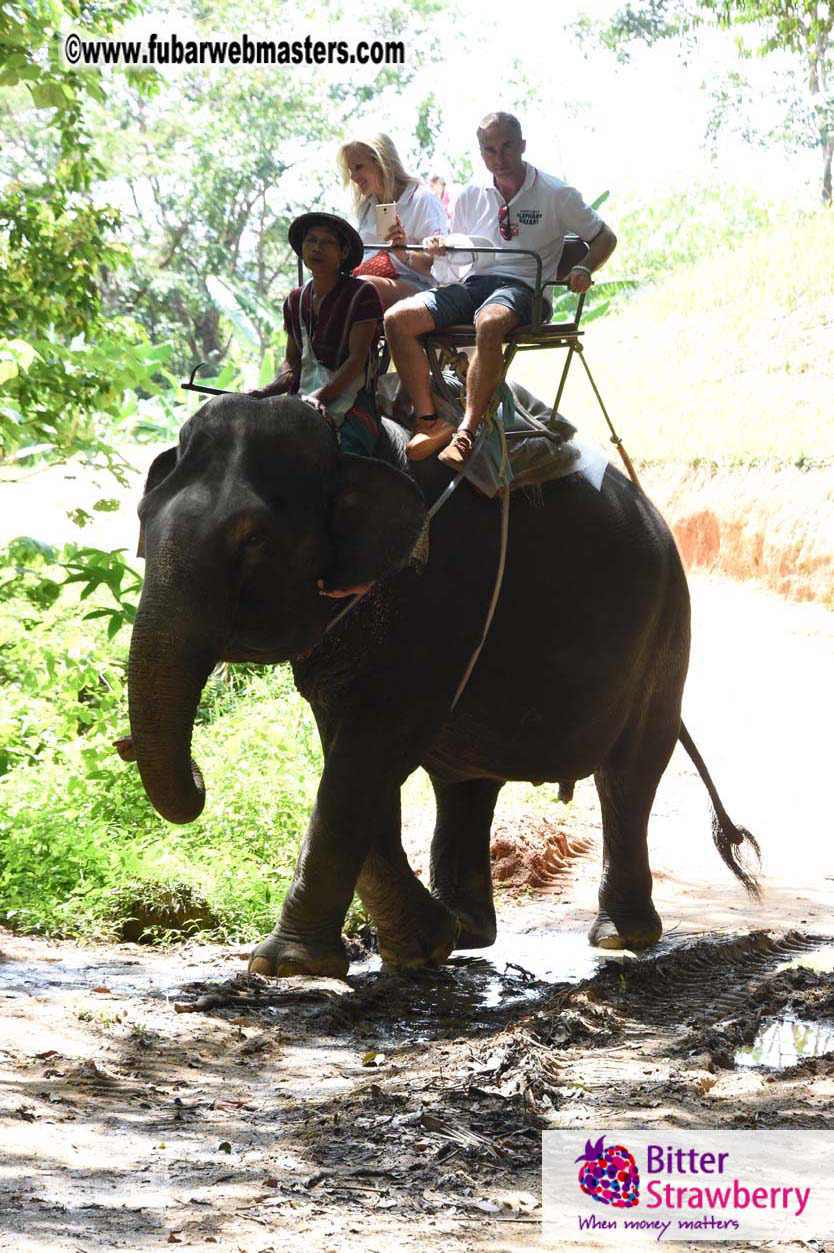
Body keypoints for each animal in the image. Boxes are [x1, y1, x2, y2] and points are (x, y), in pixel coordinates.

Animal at [127, 393, 759, 978]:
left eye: (255, 539)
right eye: (143, 520)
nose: (200, 775)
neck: (351, 443)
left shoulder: (441, 593)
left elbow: (373, 745)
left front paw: (287, 965)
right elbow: (349, 748)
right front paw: (420, 948)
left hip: (666, 628)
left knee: (629, 772)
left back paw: (620, 937)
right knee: (467, 783)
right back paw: (469, 931)